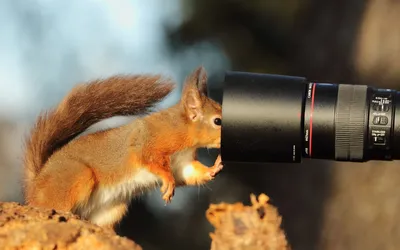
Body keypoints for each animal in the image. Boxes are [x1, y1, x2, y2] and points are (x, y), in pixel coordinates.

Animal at [23, 67, 223, 230]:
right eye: (217, 121)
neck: (181, 129)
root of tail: (36, 184)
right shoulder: (148, 142)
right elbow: (151, 160)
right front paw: (168, 181)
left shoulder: (182, 163)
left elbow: (190, 173)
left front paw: (214, 168)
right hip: (75, 177)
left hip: (112, 209)